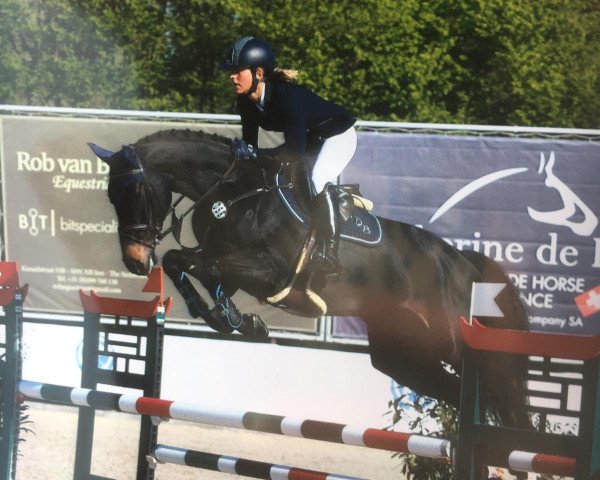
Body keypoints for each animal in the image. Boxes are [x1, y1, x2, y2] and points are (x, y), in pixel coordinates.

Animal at [88, 128, 528, 432]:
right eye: (110, 196)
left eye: (136, 192)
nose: (135, 262)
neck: (233, 191)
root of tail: (463, 262)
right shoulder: (224, 262)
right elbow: (183, 261)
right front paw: (232, 319)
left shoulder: (269, 272)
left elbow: (201, 266)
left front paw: (235, 319)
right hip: (403, 356)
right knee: (459, 394)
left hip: (457, 343)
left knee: (505, 397)